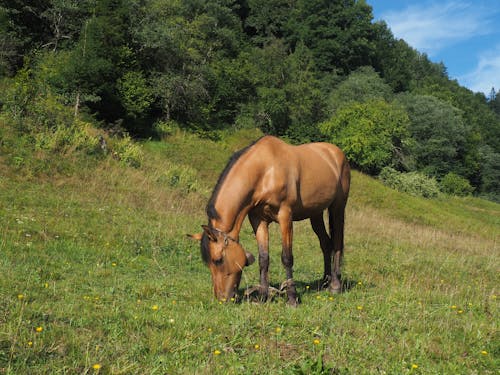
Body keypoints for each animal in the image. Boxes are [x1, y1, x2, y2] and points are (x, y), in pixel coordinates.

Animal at [189, 137, 350, 306]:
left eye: (218, 260)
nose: (222, 298)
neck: (265, 172)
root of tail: (335, 152)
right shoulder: (258, 220)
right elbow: (263, 258)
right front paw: (263, 296)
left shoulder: (285, 216)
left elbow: (287, 258)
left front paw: (292, 298)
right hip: (316, 213)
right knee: (325, 244)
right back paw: (325, 281)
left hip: (338, 206)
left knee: (337, 243)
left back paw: (335, 285)